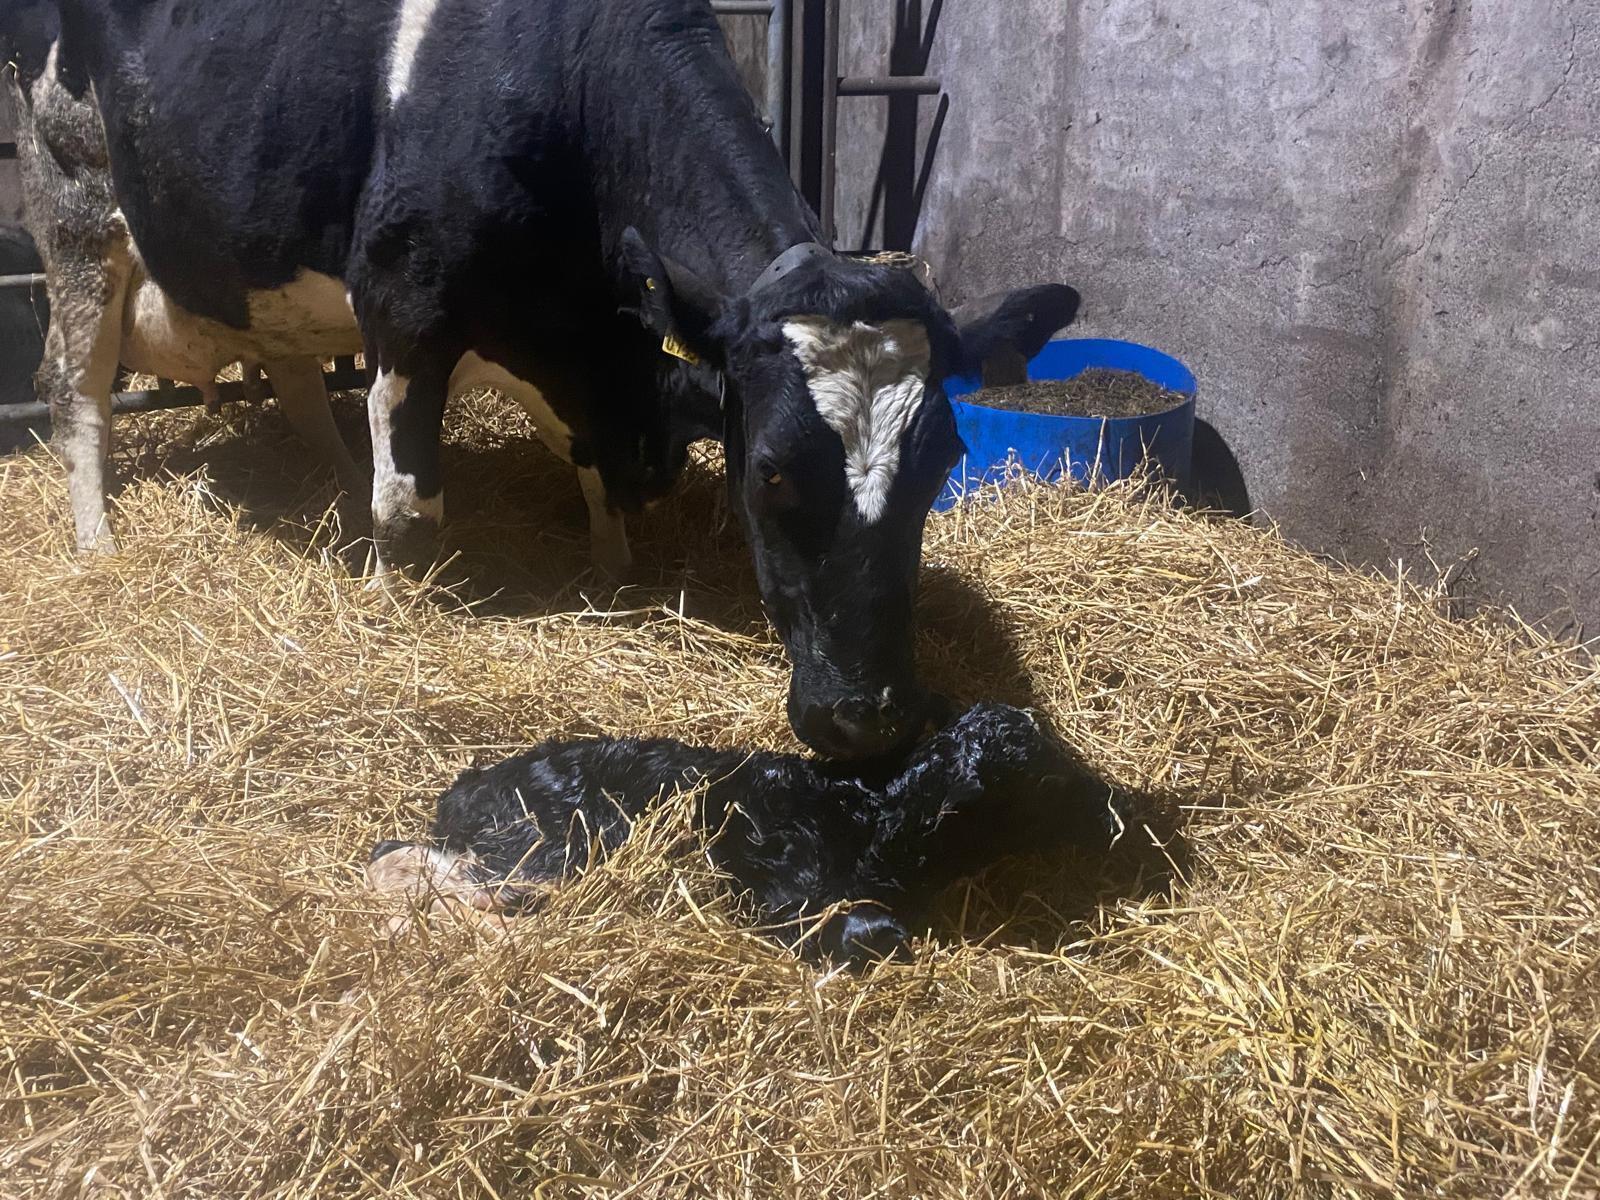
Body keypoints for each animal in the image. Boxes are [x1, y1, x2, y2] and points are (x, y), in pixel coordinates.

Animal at [34, 0, 1080, 759]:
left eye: (944, 461)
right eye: (769, 472)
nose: (869, 720)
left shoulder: (588, 349)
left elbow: (593, 464)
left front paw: (612, 568)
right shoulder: (406, 303)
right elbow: (410, 505)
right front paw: (390, 610)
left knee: (292, 378)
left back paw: (329, 481)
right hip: (74, 214)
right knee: (75, 394)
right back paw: (95, 539)